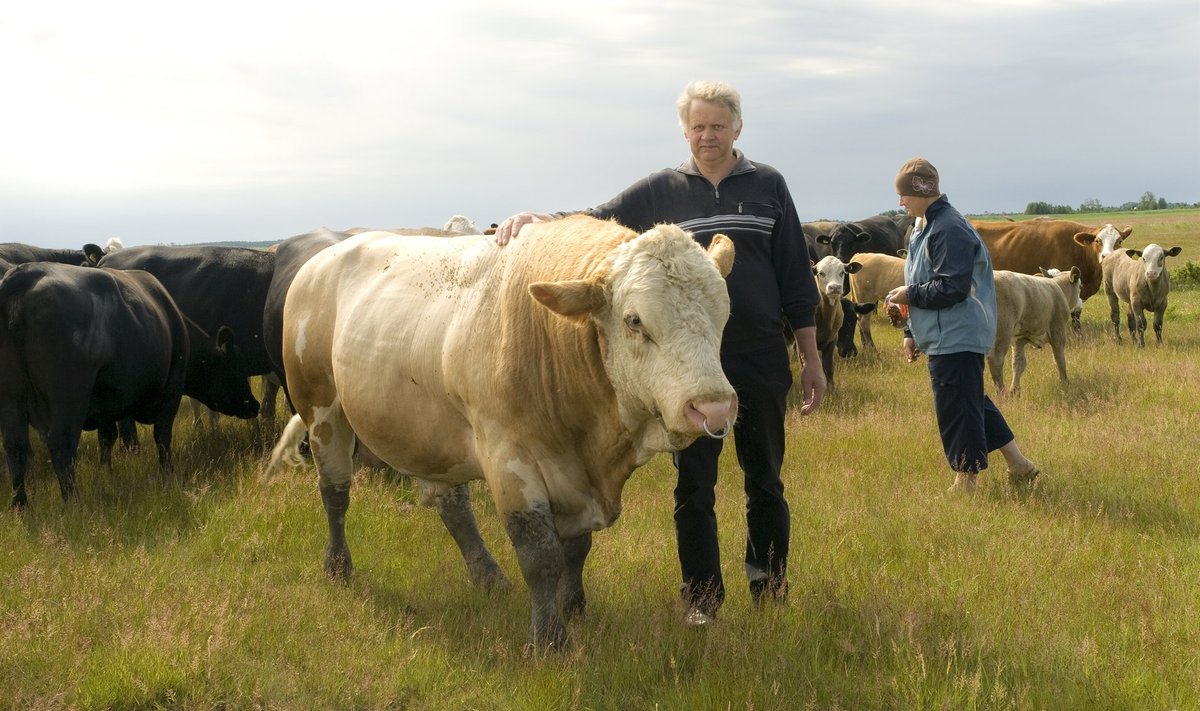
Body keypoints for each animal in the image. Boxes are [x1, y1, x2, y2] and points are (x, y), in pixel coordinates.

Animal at [0, 263, 260, 504]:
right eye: (237, 368)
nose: (254, 405)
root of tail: (25, 273)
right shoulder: (171, 392)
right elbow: (162, 436)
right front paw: (168, 474)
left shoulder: (107, 400)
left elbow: (108, 437)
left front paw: (106, 473)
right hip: (69, 396)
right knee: (61, 443)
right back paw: (74, 502)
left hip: (12, 397)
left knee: (15, 445)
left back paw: (20, 504)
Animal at [988, 265, 1084, 393]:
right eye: (1080, 286)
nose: (1081, 303)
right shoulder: (1058, 330)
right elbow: (1060, 359)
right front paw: (1064, 382)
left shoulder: (1019, 338)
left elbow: (1018, 364)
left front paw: (1015, 390)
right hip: (1003, 331)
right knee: (996, 360)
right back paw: (1002, 392)